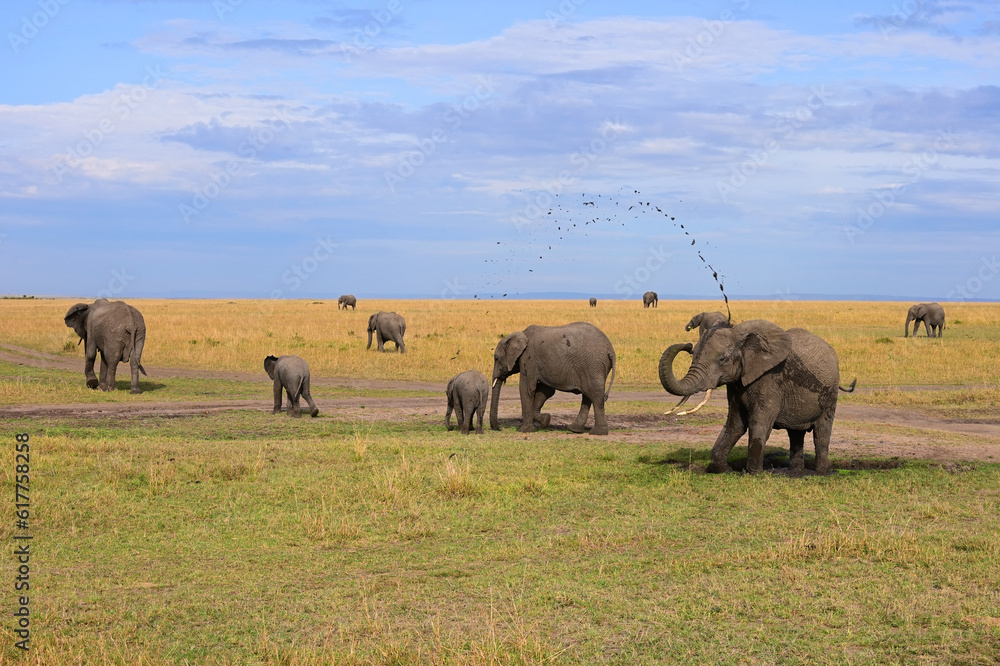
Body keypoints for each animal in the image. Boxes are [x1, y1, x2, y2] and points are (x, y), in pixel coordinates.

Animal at [659, 319, 856, 474]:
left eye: (722, 359)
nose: (687, 345)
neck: (744, 340)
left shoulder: (769, 380)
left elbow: (758, 422)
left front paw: (753, 473)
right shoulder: (737, 384)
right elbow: (735, 424)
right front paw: (725, 470)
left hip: (830, 394)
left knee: (821, 432)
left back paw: (819, 472)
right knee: (795, 434)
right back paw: (795, 472)